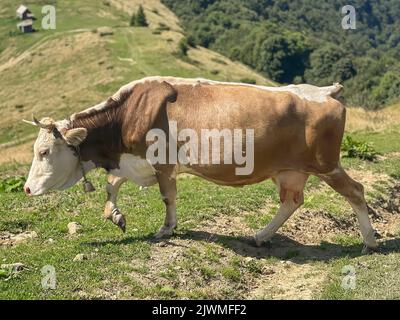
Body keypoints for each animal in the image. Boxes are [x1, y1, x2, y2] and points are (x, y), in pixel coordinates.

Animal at [22, 76, 378, 254]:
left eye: (44, 152)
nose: (26, 188)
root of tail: (323, 90)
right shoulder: (133, 161)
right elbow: (113, 185)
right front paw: (116, 216)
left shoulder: (163, 162)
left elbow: (167, 197)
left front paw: (166, 229)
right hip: (290, 170)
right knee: (292, 201)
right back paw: (260, 236)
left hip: (326, 164)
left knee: (355, 191)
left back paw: (370, 241)